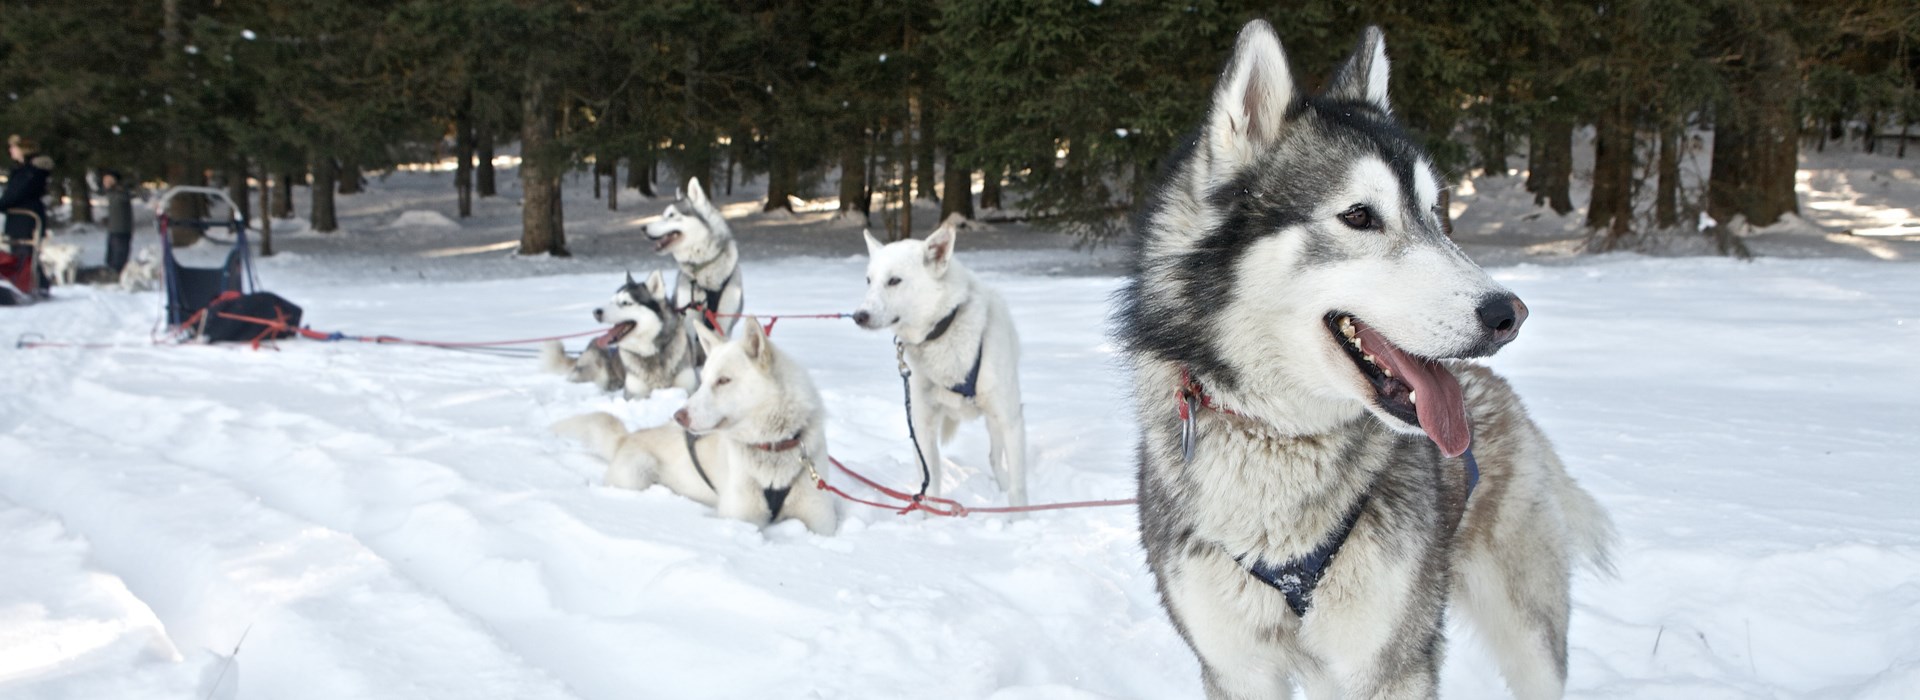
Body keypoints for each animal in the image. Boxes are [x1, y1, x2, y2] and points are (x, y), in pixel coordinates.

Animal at [537, 268, 695, 398]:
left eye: (625, 303)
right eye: (611, 301)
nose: (596, 312)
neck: (651, 353)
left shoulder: (689, 388)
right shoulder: (634, 394)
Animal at [549, 314, 833, 533]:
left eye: (723, 380)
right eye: (704, 380)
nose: (679, 416)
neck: (773, 447)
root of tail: (627, 437)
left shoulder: (821, 521)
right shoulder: (738, 517)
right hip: (636, 474)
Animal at [852, 225, 1029, 506]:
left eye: (894, 280)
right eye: (869, 280)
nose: (858, 316)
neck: (944, 330)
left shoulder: (1011, 420)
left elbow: (1018, 489)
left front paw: (1019, 515)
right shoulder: (922, 428)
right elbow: (931, 488)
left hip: (996, 419)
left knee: (995, 459)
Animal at [1121, 21, 1612, 698]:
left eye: (1434, 213)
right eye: (1359, 215)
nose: (1508, 314)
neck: (1282, 442)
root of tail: (1498, 390)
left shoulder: (1391, 666)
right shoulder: (1236, 668)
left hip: (1527, 633)